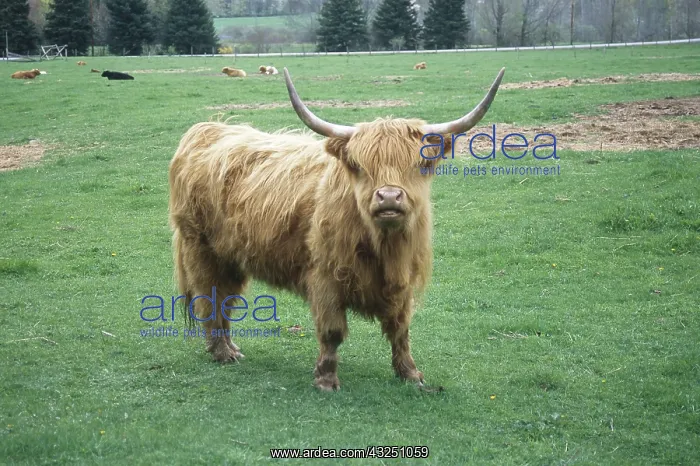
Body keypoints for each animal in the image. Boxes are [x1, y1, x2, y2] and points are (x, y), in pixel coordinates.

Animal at [169, 67, 505, 391]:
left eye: (420, 163)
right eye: (358, 165)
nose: (389, 197)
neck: (383, 246)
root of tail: (210, 129)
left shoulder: (403, 279)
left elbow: (400, 329)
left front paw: (410, 374)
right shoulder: (325, 277)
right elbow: (332, 332)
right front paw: (326, 380)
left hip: (231, 257)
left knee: (226, 299)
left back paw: (231, 348)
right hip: (200, 248)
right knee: (210, 298)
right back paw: (222, 352)